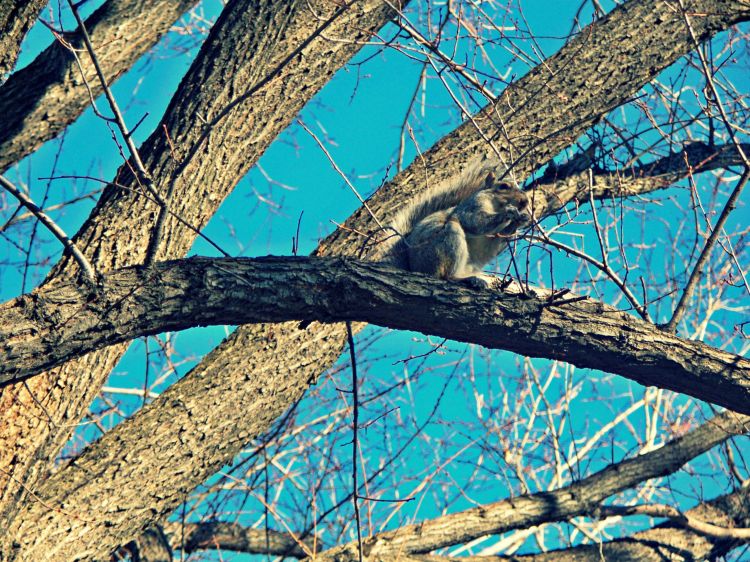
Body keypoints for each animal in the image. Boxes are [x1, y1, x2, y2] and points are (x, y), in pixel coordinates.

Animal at [382, 160, 536, 286]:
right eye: (503, 186)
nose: (525, 201)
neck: (496, 205)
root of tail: (415, 268)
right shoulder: (471, 207)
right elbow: (475, 222)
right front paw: (508, 211)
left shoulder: (491, 239)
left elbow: (494, 241)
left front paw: (522, 219)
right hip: (445, 239)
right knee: (445, 275)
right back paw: (463, 279)